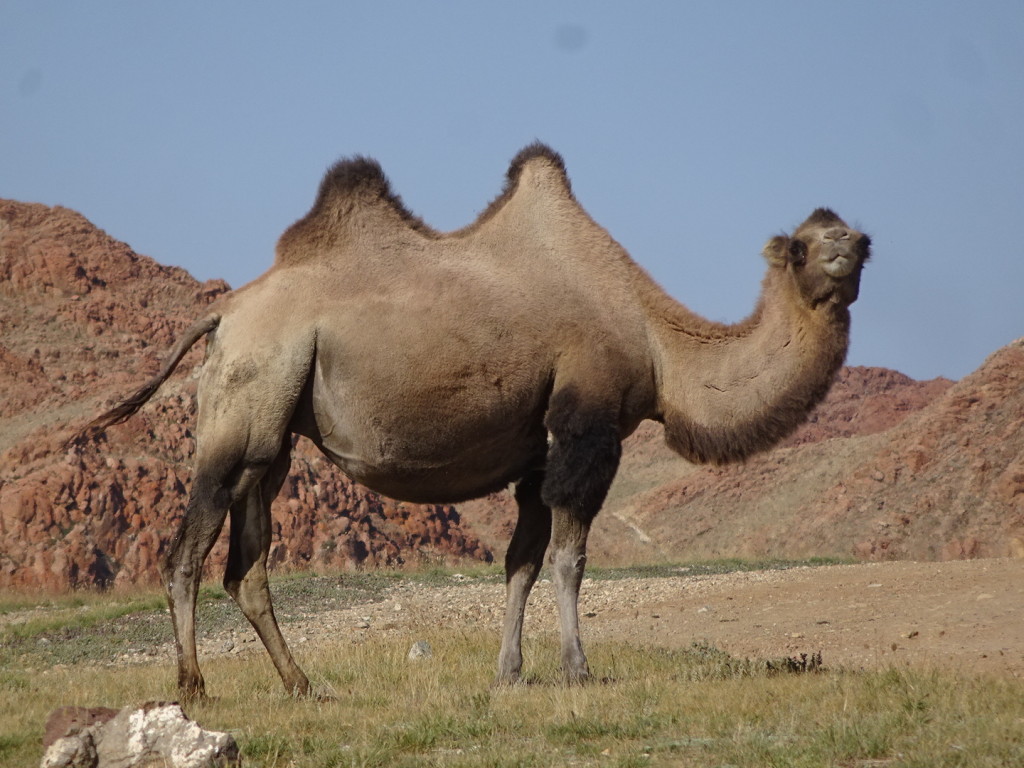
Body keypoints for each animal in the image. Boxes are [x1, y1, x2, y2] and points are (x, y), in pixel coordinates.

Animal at [81, 141, 872, 700]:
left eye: (856, 236)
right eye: (803, 244)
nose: (849, 247)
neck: (654, 340)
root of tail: (222, 314)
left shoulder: (535, 452)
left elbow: (520, 562)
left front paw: (509, 673)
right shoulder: (587, 426)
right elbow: (570, 557)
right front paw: (578, 670)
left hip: (270, 439)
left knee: (247, 566)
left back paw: (303, 685)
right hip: (244, 404)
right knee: (186, 552)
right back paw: (194, 686)